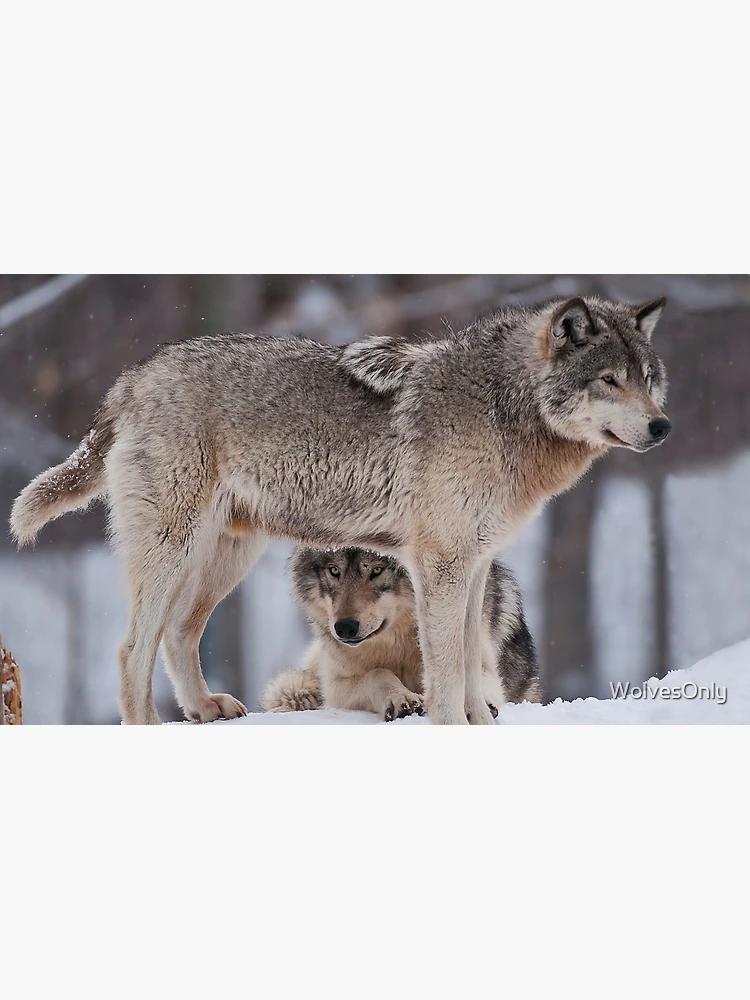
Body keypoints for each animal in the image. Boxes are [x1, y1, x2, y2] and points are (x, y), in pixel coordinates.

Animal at [261, 547, 540, 720]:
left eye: (377, 570)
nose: (345, 628)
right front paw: (401, 698)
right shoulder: (336, 687)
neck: (398, 643)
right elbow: (378, 673)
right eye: (334, 571)